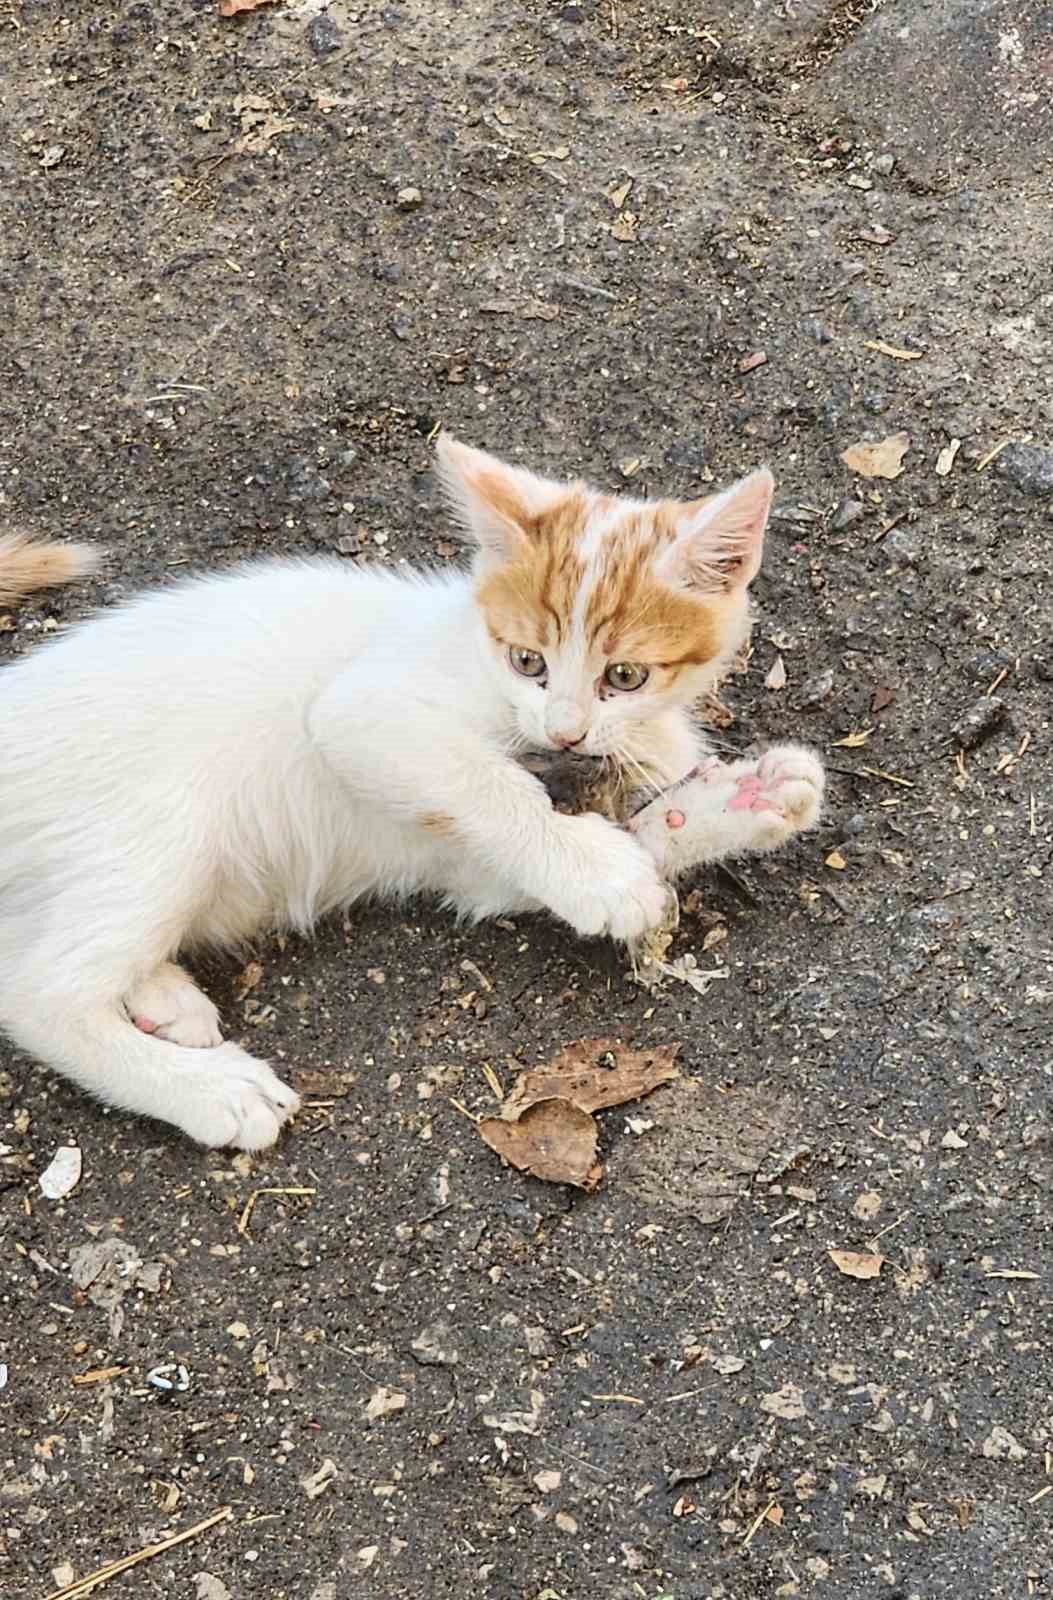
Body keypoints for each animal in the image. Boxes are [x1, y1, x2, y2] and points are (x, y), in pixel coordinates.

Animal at [0, 438, 819, 1152]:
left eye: (624, 676)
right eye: (528, 661)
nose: (564, 731)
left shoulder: (474, 869)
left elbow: (612, 834)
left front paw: (742, 802)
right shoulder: (361, 712)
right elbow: (492, 785)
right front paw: (602, 876)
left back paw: (165, 1002)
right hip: (165, 820)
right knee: (38, 990)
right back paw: (208, 1090)